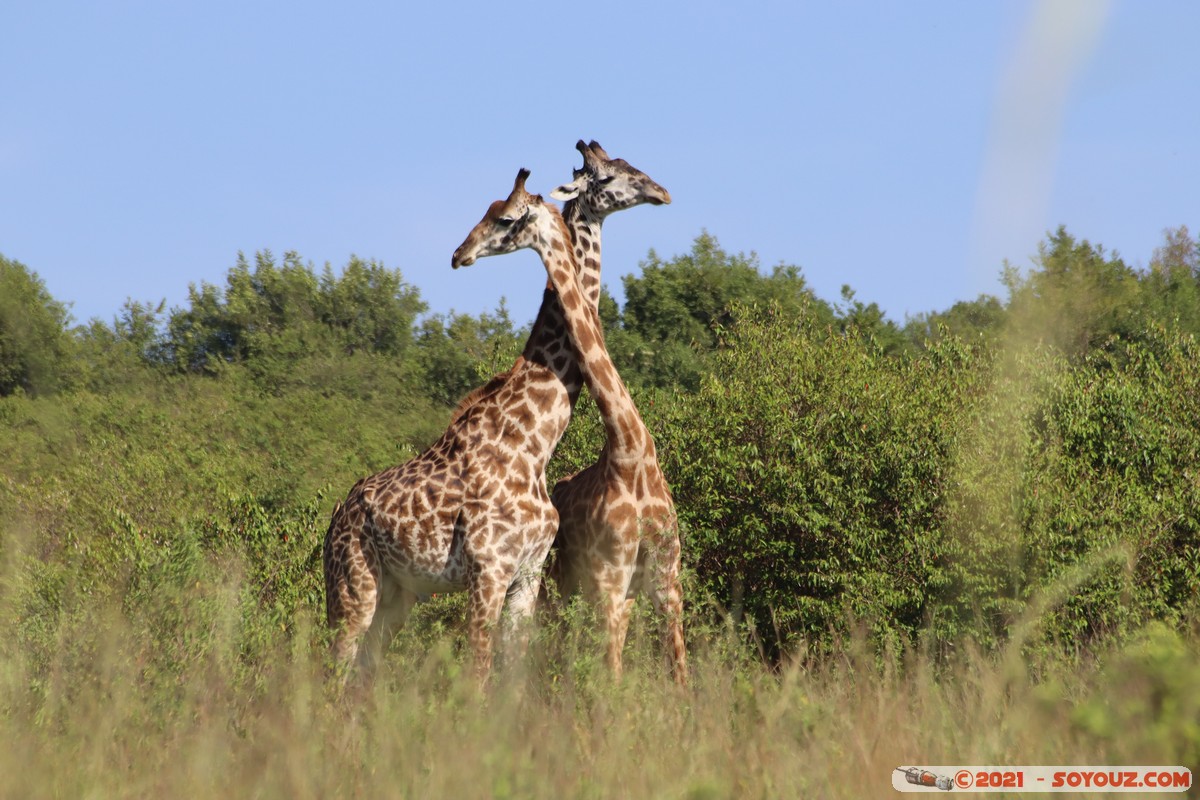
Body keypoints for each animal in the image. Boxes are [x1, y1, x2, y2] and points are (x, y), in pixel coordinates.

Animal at [451, 165, 686, 686]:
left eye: (625, 166)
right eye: (609, 175)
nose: (459, 254)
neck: (630, 453)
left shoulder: (666, 578)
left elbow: (681, 676)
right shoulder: (608, 580)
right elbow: (612, 677)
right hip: (564, 588)